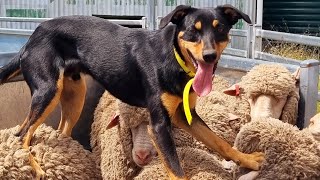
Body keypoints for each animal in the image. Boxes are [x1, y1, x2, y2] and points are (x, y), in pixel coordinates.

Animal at [0, 4, 264, 180]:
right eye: (193, 30)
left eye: (220, 30)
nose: (209, 56)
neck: (174, 58)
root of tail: (32, 36)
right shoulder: (159, 124)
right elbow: (175, 166)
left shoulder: (184, 116)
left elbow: (219, 142)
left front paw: (248, 160)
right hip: (47, 91)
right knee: (21, 134)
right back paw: (35, 167)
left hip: (75, 93)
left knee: (59, 131)